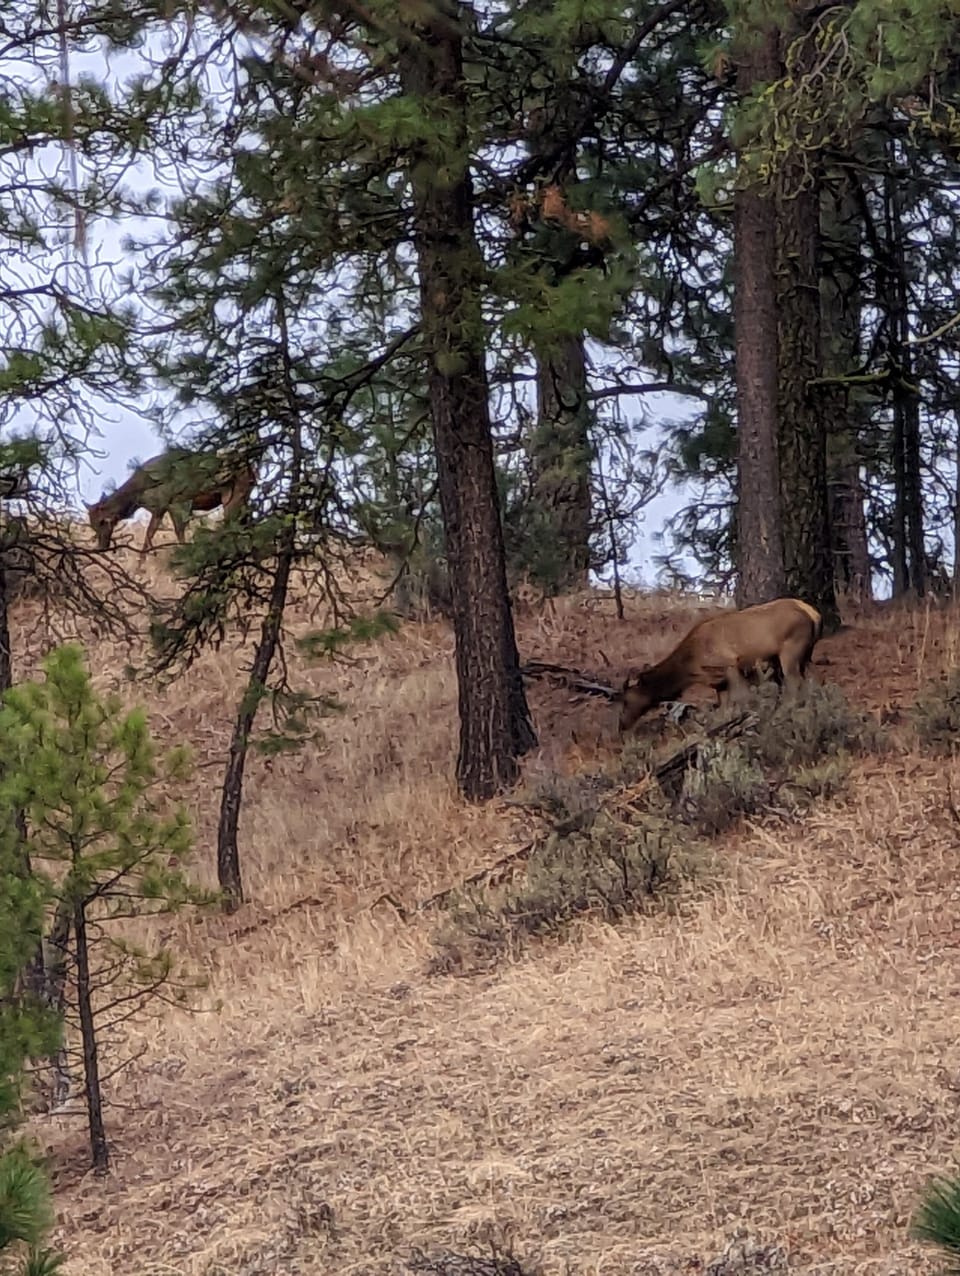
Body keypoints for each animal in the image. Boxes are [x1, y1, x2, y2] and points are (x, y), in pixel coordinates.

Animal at [86, 447, 256, 556]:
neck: (138, 496)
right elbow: (148, 536)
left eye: (101, 521)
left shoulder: (176, 503)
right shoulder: (159, 509)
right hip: (242, 496)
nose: (101, 547)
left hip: (233, 495)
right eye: (92, 525)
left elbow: (179, 534)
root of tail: (251, 470)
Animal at [617, 597, 823, 733]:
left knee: (794, 682)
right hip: (806, 654)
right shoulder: (719, 683)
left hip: (790, 650)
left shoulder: (730, 666)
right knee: (809, 681)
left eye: (627, 700)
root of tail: (814, 613)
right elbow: (723, 710)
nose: (621, 725)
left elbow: (742, 697)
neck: (691, 668)